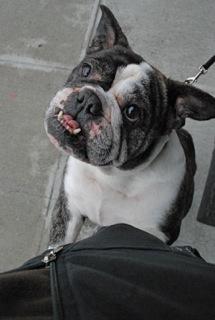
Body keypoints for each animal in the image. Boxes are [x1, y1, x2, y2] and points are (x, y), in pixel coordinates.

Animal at [44, 5, 215, 246]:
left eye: (132, 112)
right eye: (86, 70)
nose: (88, 101)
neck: (111, 176)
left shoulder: (155, 232)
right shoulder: (69, 209)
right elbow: (57, 245)